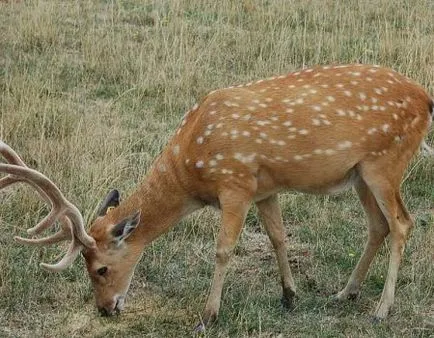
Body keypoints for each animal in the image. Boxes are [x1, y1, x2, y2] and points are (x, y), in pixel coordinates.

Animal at [1, 63, 432, 330]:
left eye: (101, 269)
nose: (106, 310)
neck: (191, 170)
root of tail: (426, 100)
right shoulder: (265, 187)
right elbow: (278, 237)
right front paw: (289, 296)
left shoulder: (235, 182)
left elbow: (224, 249)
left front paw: (208, 315)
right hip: (359, 173)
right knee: (377, 226)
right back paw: (344, 293)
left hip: (386, 162)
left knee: (402, 223)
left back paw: (381, 310)